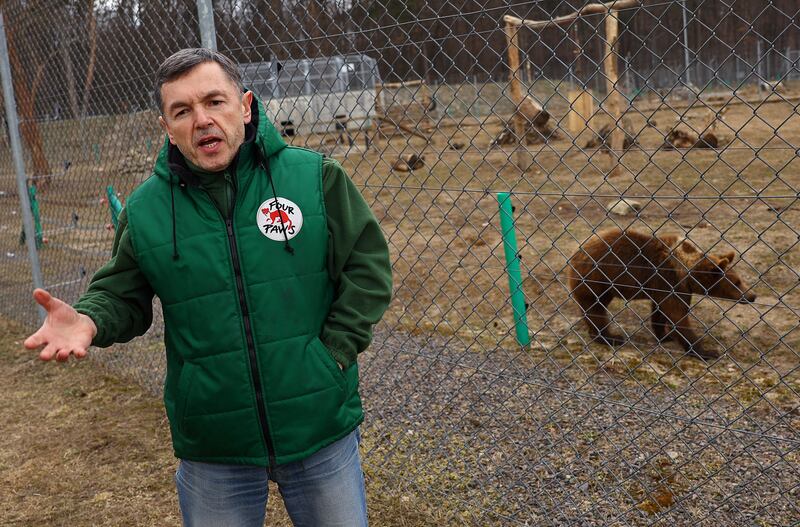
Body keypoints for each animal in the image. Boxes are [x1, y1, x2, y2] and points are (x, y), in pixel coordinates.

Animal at [568, 227, 756, 358]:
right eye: (737, 282)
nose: (752, 296)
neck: (686, 272)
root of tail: (576, 251)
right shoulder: (667, 279)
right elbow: (677, 315)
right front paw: (706, 351)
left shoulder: (671, 287)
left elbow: (661, 312)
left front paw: (664, 336)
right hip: (597, 277)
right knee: (595, 307)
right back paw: (609, 337)